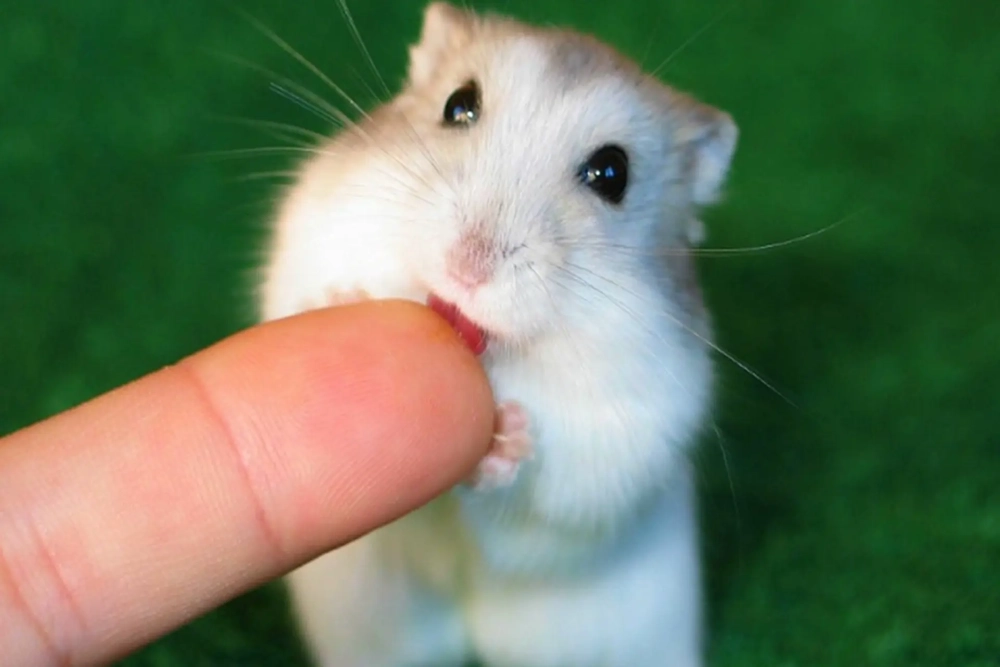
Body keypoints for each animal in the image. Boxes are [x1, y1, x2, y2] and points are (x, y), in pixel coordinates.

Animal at [258, 3, 738, 666]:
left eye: (612, 173)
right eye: (459, 104)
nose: (468, 266)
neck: (495, 354)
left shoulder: (621, 448)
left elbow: (534, 498)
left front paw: (507, 437)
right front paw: (345, 301)